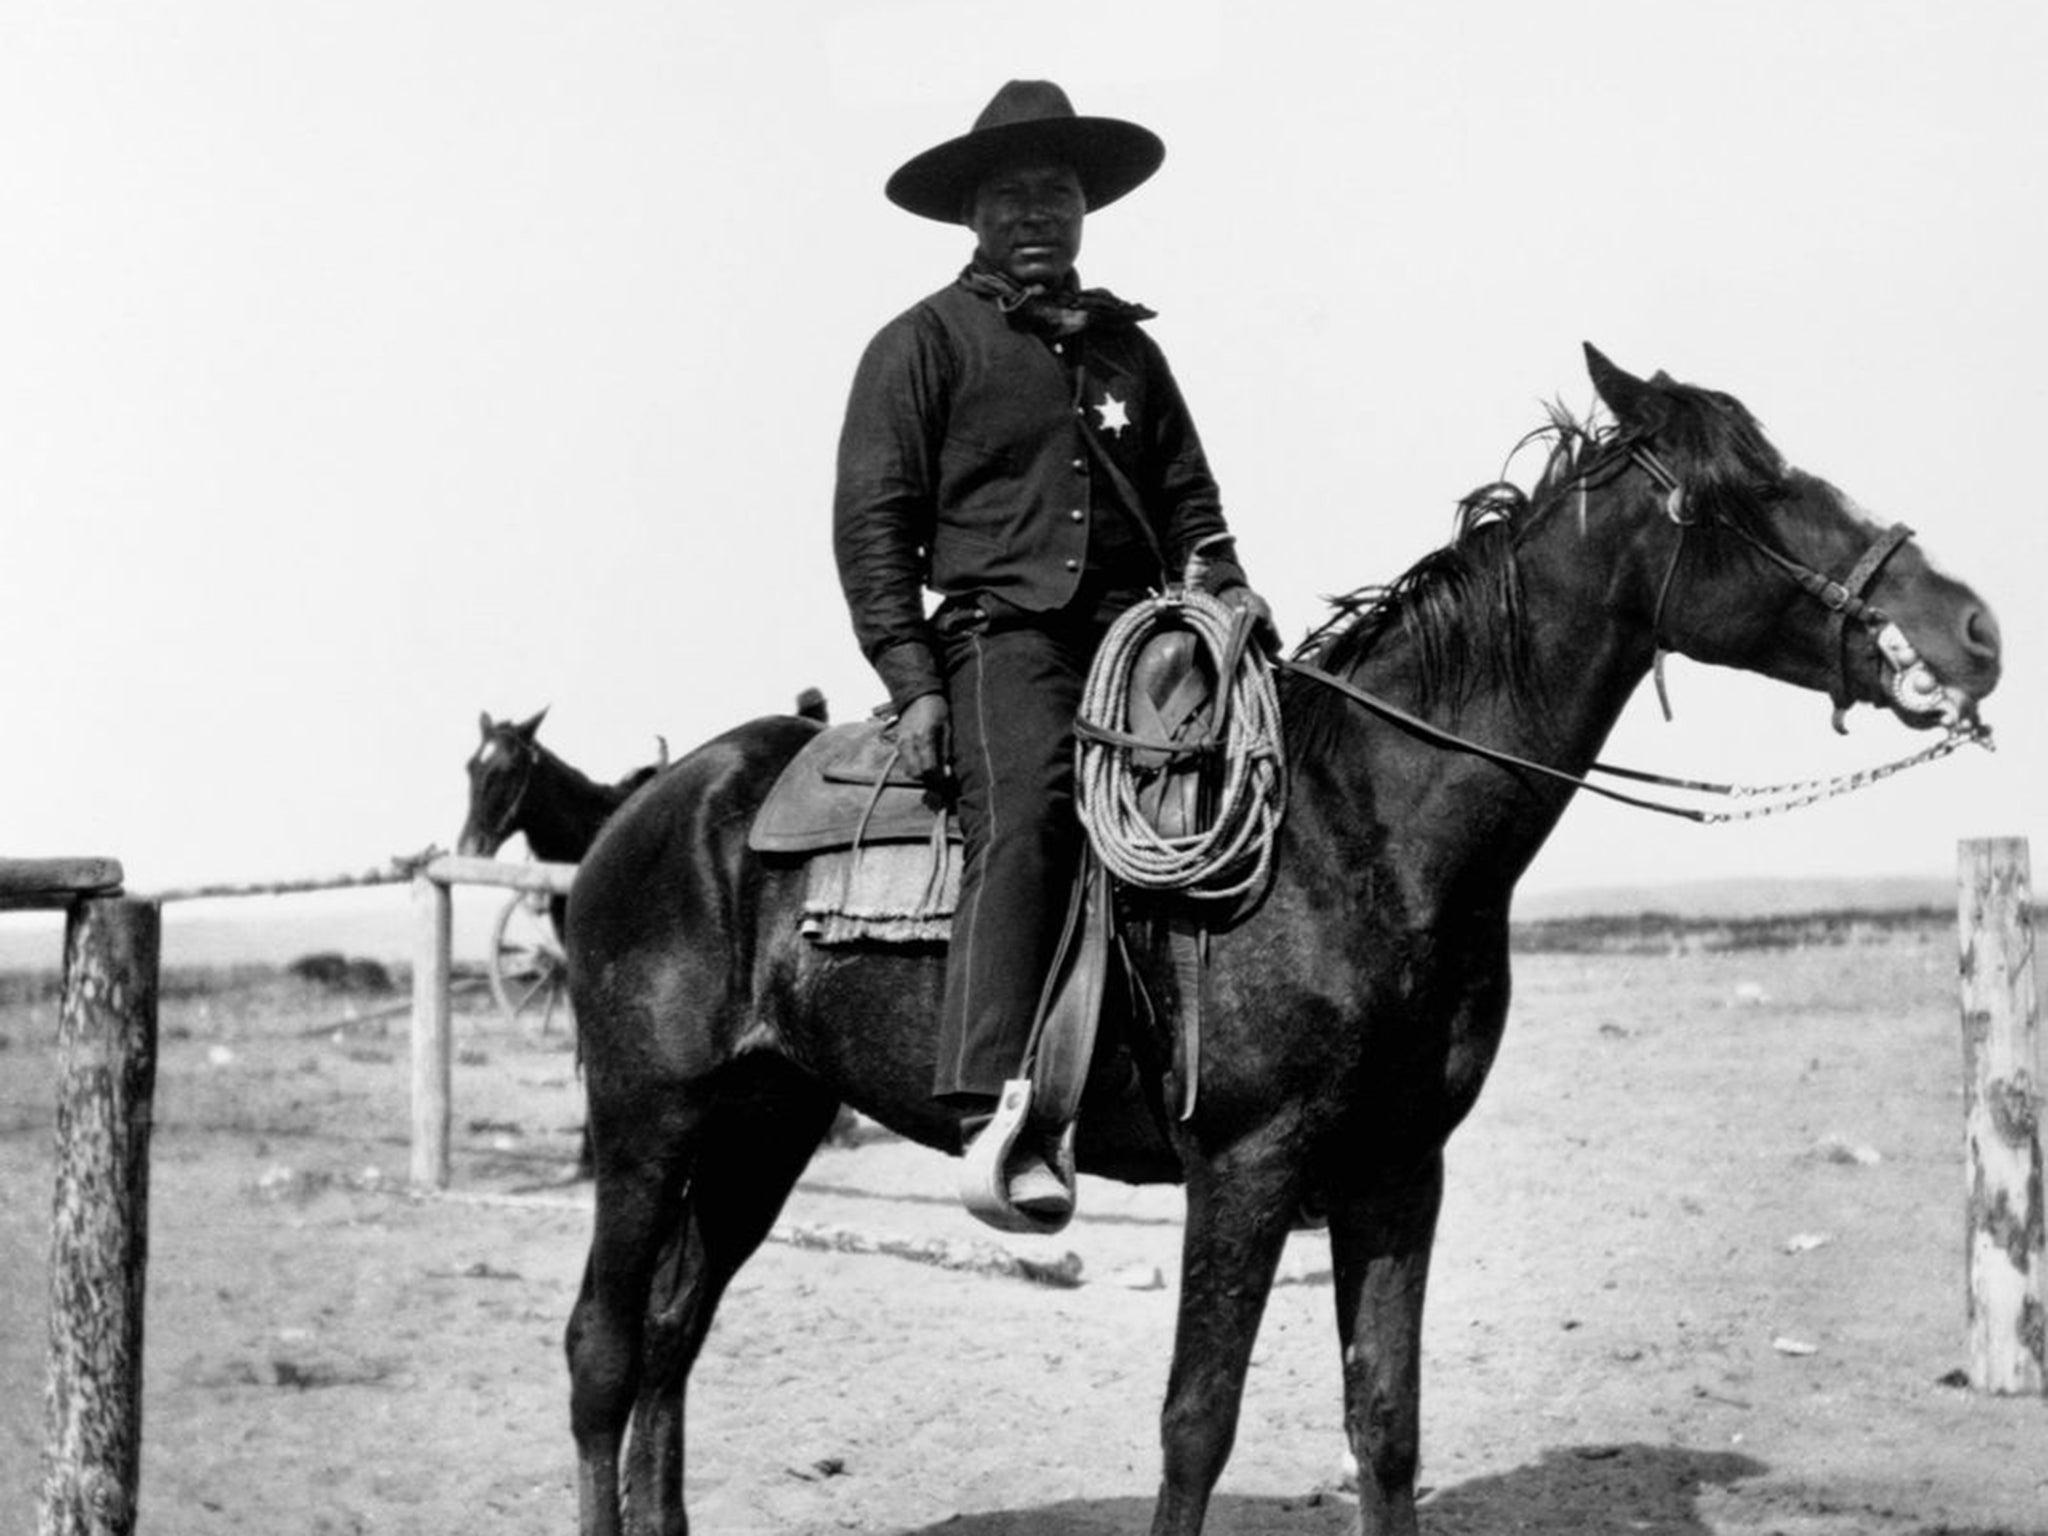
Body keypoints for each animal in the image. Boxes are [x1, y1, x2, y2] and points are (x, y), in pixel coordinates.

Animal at [561, 348, 1998, 1536]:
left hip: (765, 1121)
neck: (1361, 827)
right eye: (1755, 487)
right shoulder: (1246, 1169)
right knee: (601, 1353)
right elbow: (1195, 1428)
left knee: (674, 1334)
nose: (1974, 627)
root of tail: (652, 808)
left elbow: (1385, 1425)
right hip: (648, 1121)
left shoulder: (1397, 1169)